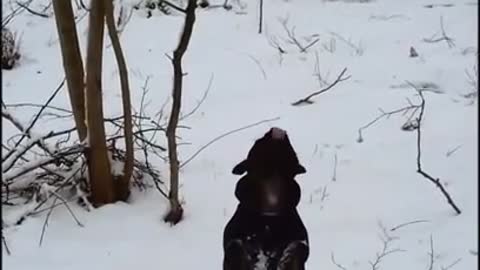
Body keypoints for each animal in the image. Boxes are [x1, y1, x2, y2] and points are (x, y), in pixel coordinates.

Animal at [223, 127, 310, 270]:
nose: (274, 129)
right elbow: (237, 247)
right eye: (258, 141)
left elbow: (297, 247)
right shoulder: (233, 239)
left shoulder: (299, 238)